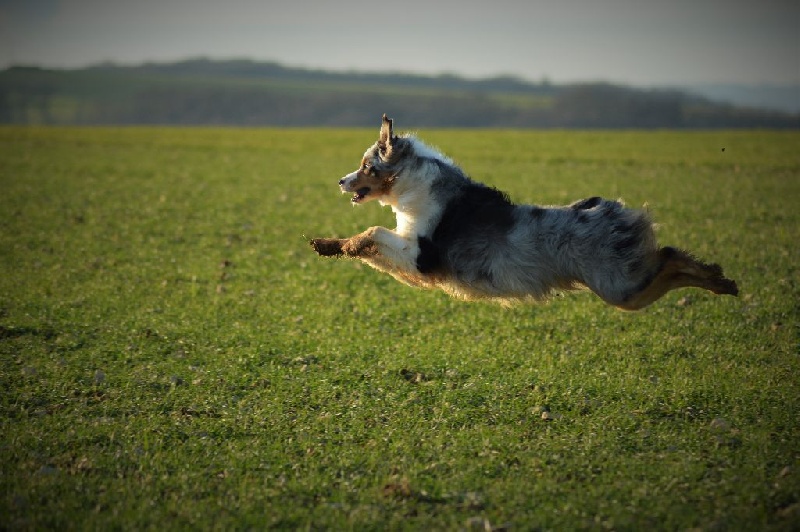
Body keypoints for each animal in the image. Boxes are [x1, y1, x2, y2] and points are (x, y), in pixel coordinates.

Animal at [310, 114, 740, 310]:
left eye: (366, 166)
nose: (340, 181)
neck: (411, 184)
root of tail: (611, 208)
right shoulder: (410, 259)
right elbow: (368, 248)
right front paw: (327, 245)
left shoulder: (420, 254)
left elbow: (371, 232)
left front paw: (338, 244)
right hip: (625, 289)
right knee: (669, 261)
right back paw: (721, 282)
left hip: (619, 286)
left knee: (669, 256)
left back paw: (717, 278)